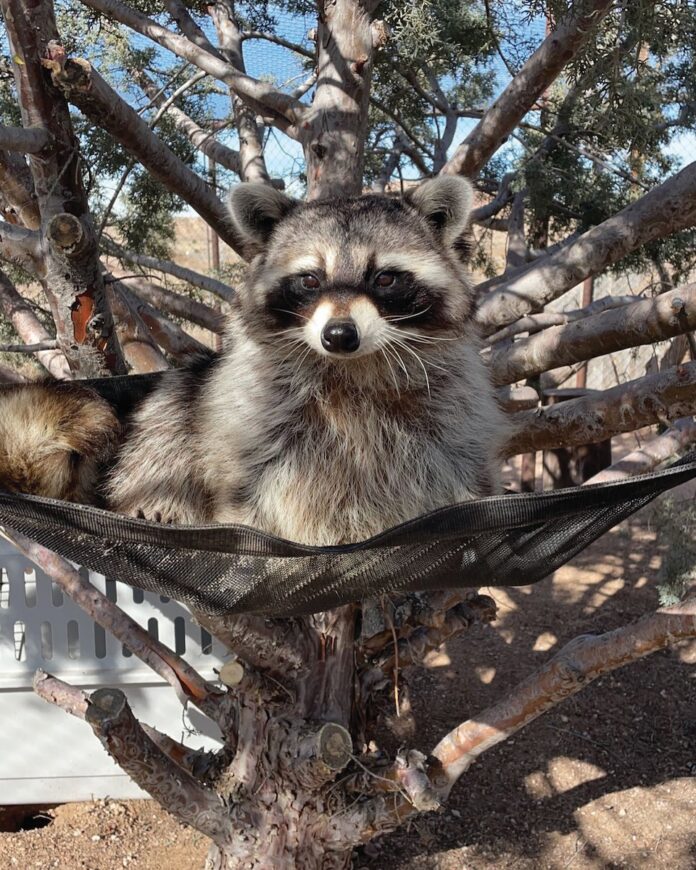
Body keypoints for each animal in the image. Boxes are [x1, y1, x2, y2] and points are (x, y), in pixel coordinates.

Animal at [106, 176, 507, 545]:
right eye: (311, 280)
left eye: (385, 278)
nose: (340, 335)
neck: (353, 365)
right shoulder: (250, 412)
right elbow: (244, 490)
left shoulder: (453, 410)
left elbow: (462, 472)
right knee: (167, 425)